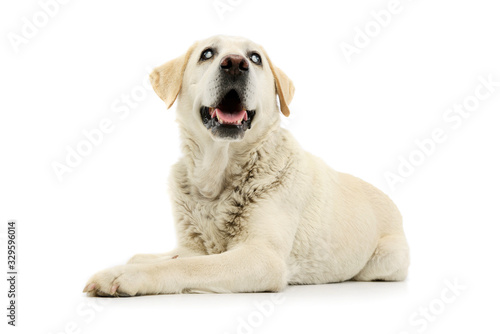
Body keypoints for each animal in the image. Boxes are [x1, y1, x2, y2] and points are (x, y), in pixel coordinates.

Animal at [83, 35, 410, 296]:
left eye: (255, 58)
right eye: (207, 53)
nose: (235, 64)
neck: (218, 176)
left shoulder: (262, 257)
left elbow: (191, 267)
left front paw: (124, 275)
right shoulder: (192, 245)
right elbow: (174, 257)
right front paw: (139, 261)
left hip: (385, 260)